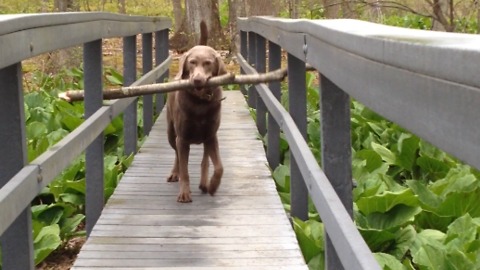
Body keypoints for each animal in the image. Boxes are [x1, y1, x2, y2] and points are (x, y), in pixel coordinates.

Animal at [166, 21, 228, 202]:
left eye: (208, 63)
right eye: (192, 62)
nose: (197, 80)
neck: (200, 103)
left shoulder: (211, 136)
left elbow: (219, 167)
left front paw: (213, 186)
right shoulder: (182, 138)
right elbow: (185, 169)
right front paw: (185, 193)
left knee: (204, 161)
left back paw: (204, 183)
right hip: (171, 133)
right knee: (177, 156)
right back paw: (175, 173)